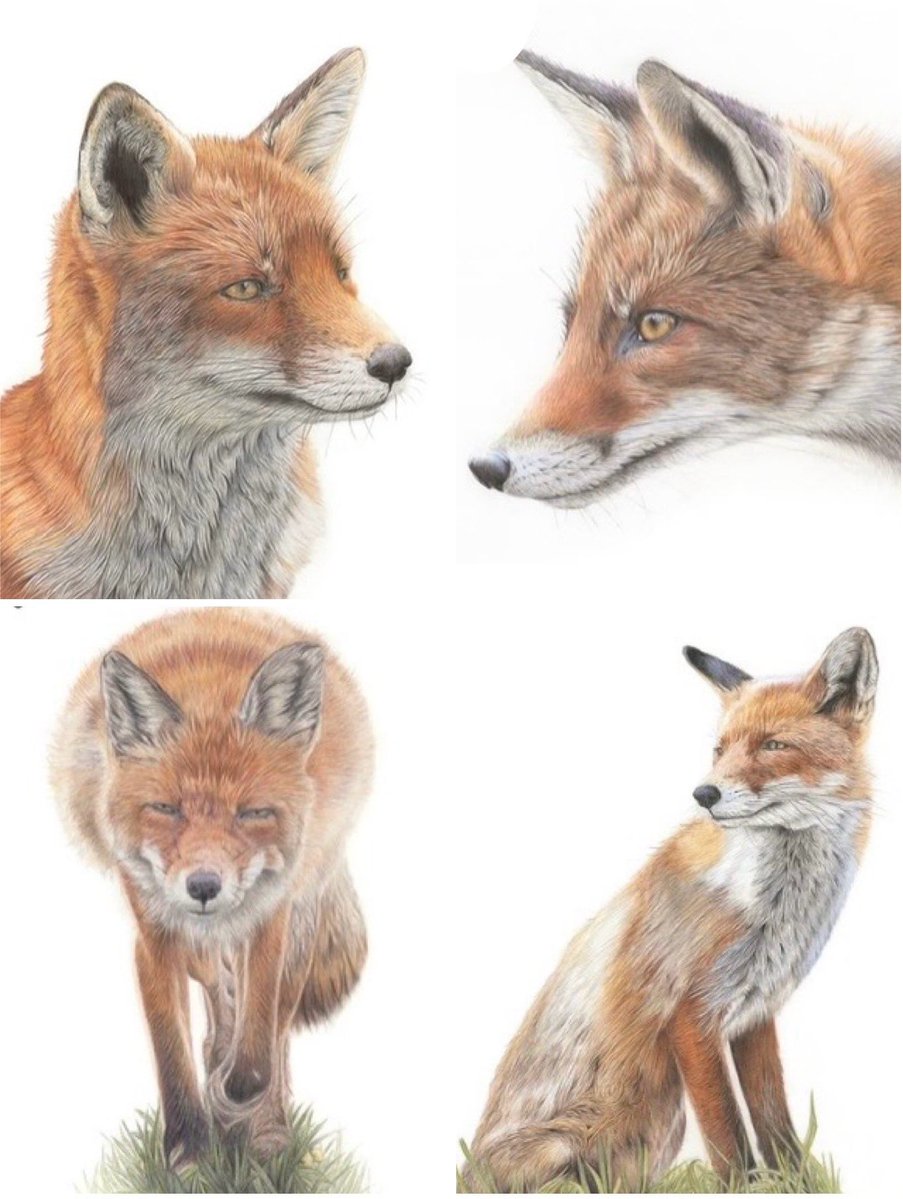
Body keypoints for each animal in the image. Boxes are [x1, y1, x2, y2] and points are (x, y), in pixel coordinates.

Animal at [51, 607, 373, 1166]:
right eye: (165, 809)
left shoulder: (271, 916)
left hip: (304, 909)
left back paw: (265, 1128)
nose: (204, 886)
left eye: (253, 814)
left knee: (273, 1023)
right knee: (215, 994)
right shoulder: (154, 935)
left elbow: (260, 1036)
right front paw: (187, 1151)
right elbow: (171, 1050)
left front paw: (238, 1097)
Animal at [467, 627, 878, 1191]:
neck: (774, 908)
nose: (704, 792)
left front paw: (796, 1182)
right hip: (596, 1135)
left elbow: (773, 1118)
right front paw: (741, 1187)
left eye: (773, 745)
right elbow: (727, 1130)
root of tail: (466, 1171)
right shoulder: (689, 1015)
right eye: (719, 749)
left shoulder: (754, 1014)